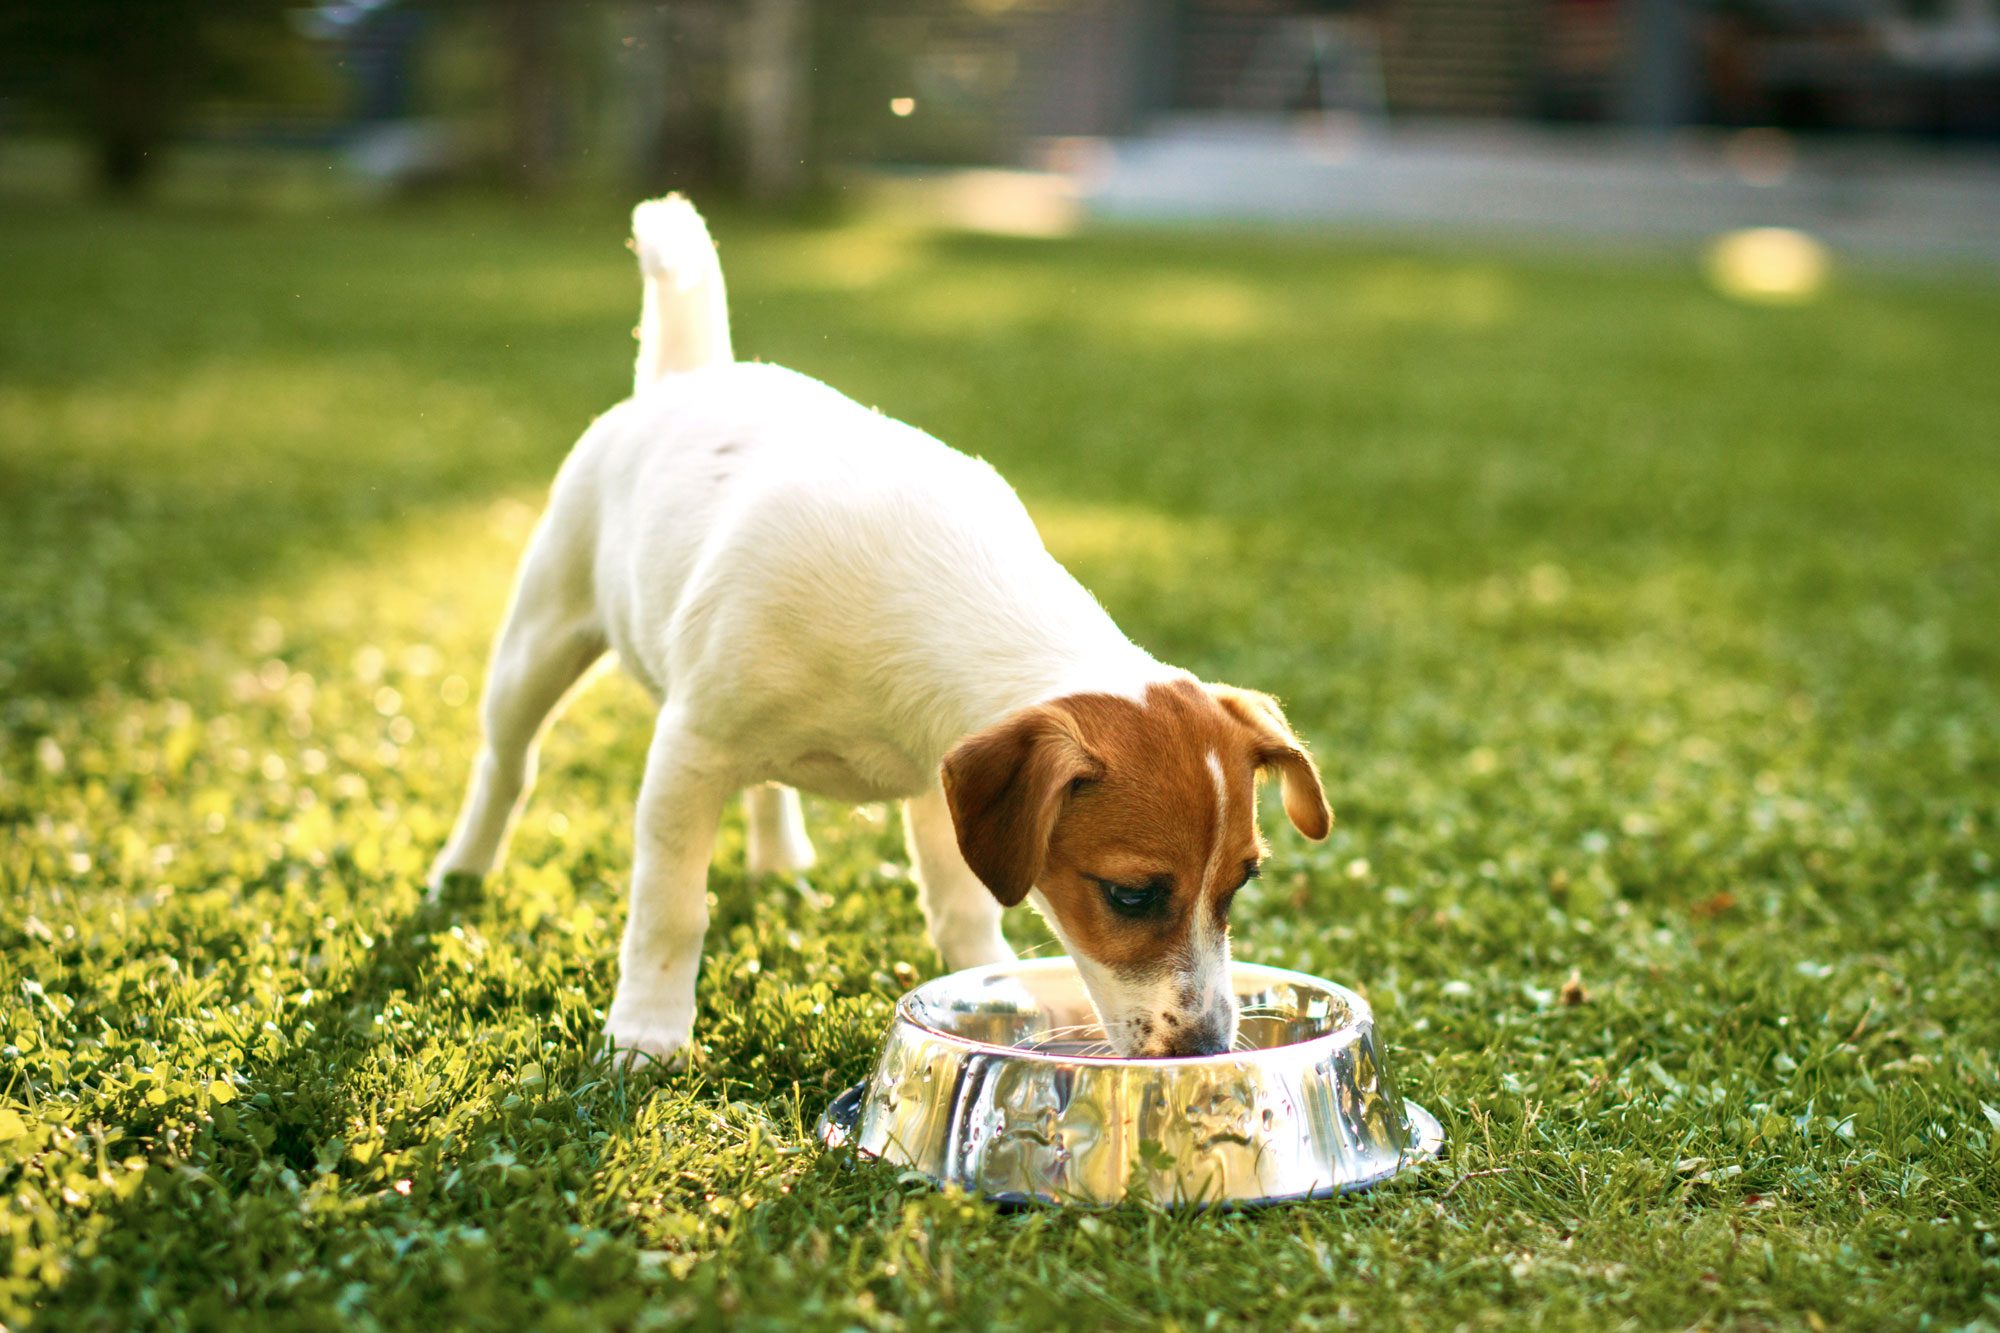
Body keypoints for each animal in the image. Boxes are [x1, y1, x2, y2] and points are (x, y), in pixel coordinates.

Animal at [430, 195, 1328, 1056]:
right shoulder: (688, 753)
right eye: (1131, 894)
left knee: (762, 789)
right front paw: (647, 1034)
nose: (1208, 1046)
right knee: (508, 764)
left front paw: (994, 987)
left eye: (1243, 881)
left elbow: (962, 908)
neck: (936, 591)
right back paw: (461, 872)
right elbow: (671, 911)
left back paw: (779, 861)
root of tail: (689, 376)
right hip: (541, 639)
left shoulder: (942, 787)